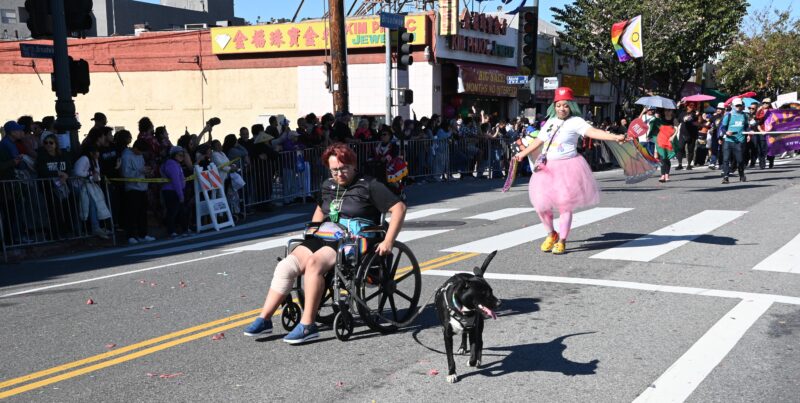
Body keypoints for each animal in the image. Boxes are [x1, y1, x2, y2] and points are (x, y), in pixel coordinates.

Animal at [434, 250, 501, 383]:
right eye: (484, 293)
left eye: (491, 291)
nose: (499, 303)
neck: (463, 311)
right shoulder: (447, 335)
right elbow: (450, 357)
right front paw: (452, 373)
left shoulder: (474, 329)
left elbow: (474, 349)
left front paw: (473, 361)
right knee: (464, 334)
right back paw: (462, 347)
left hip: (479, 325)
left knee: (480, 342)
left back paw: (478, 359)